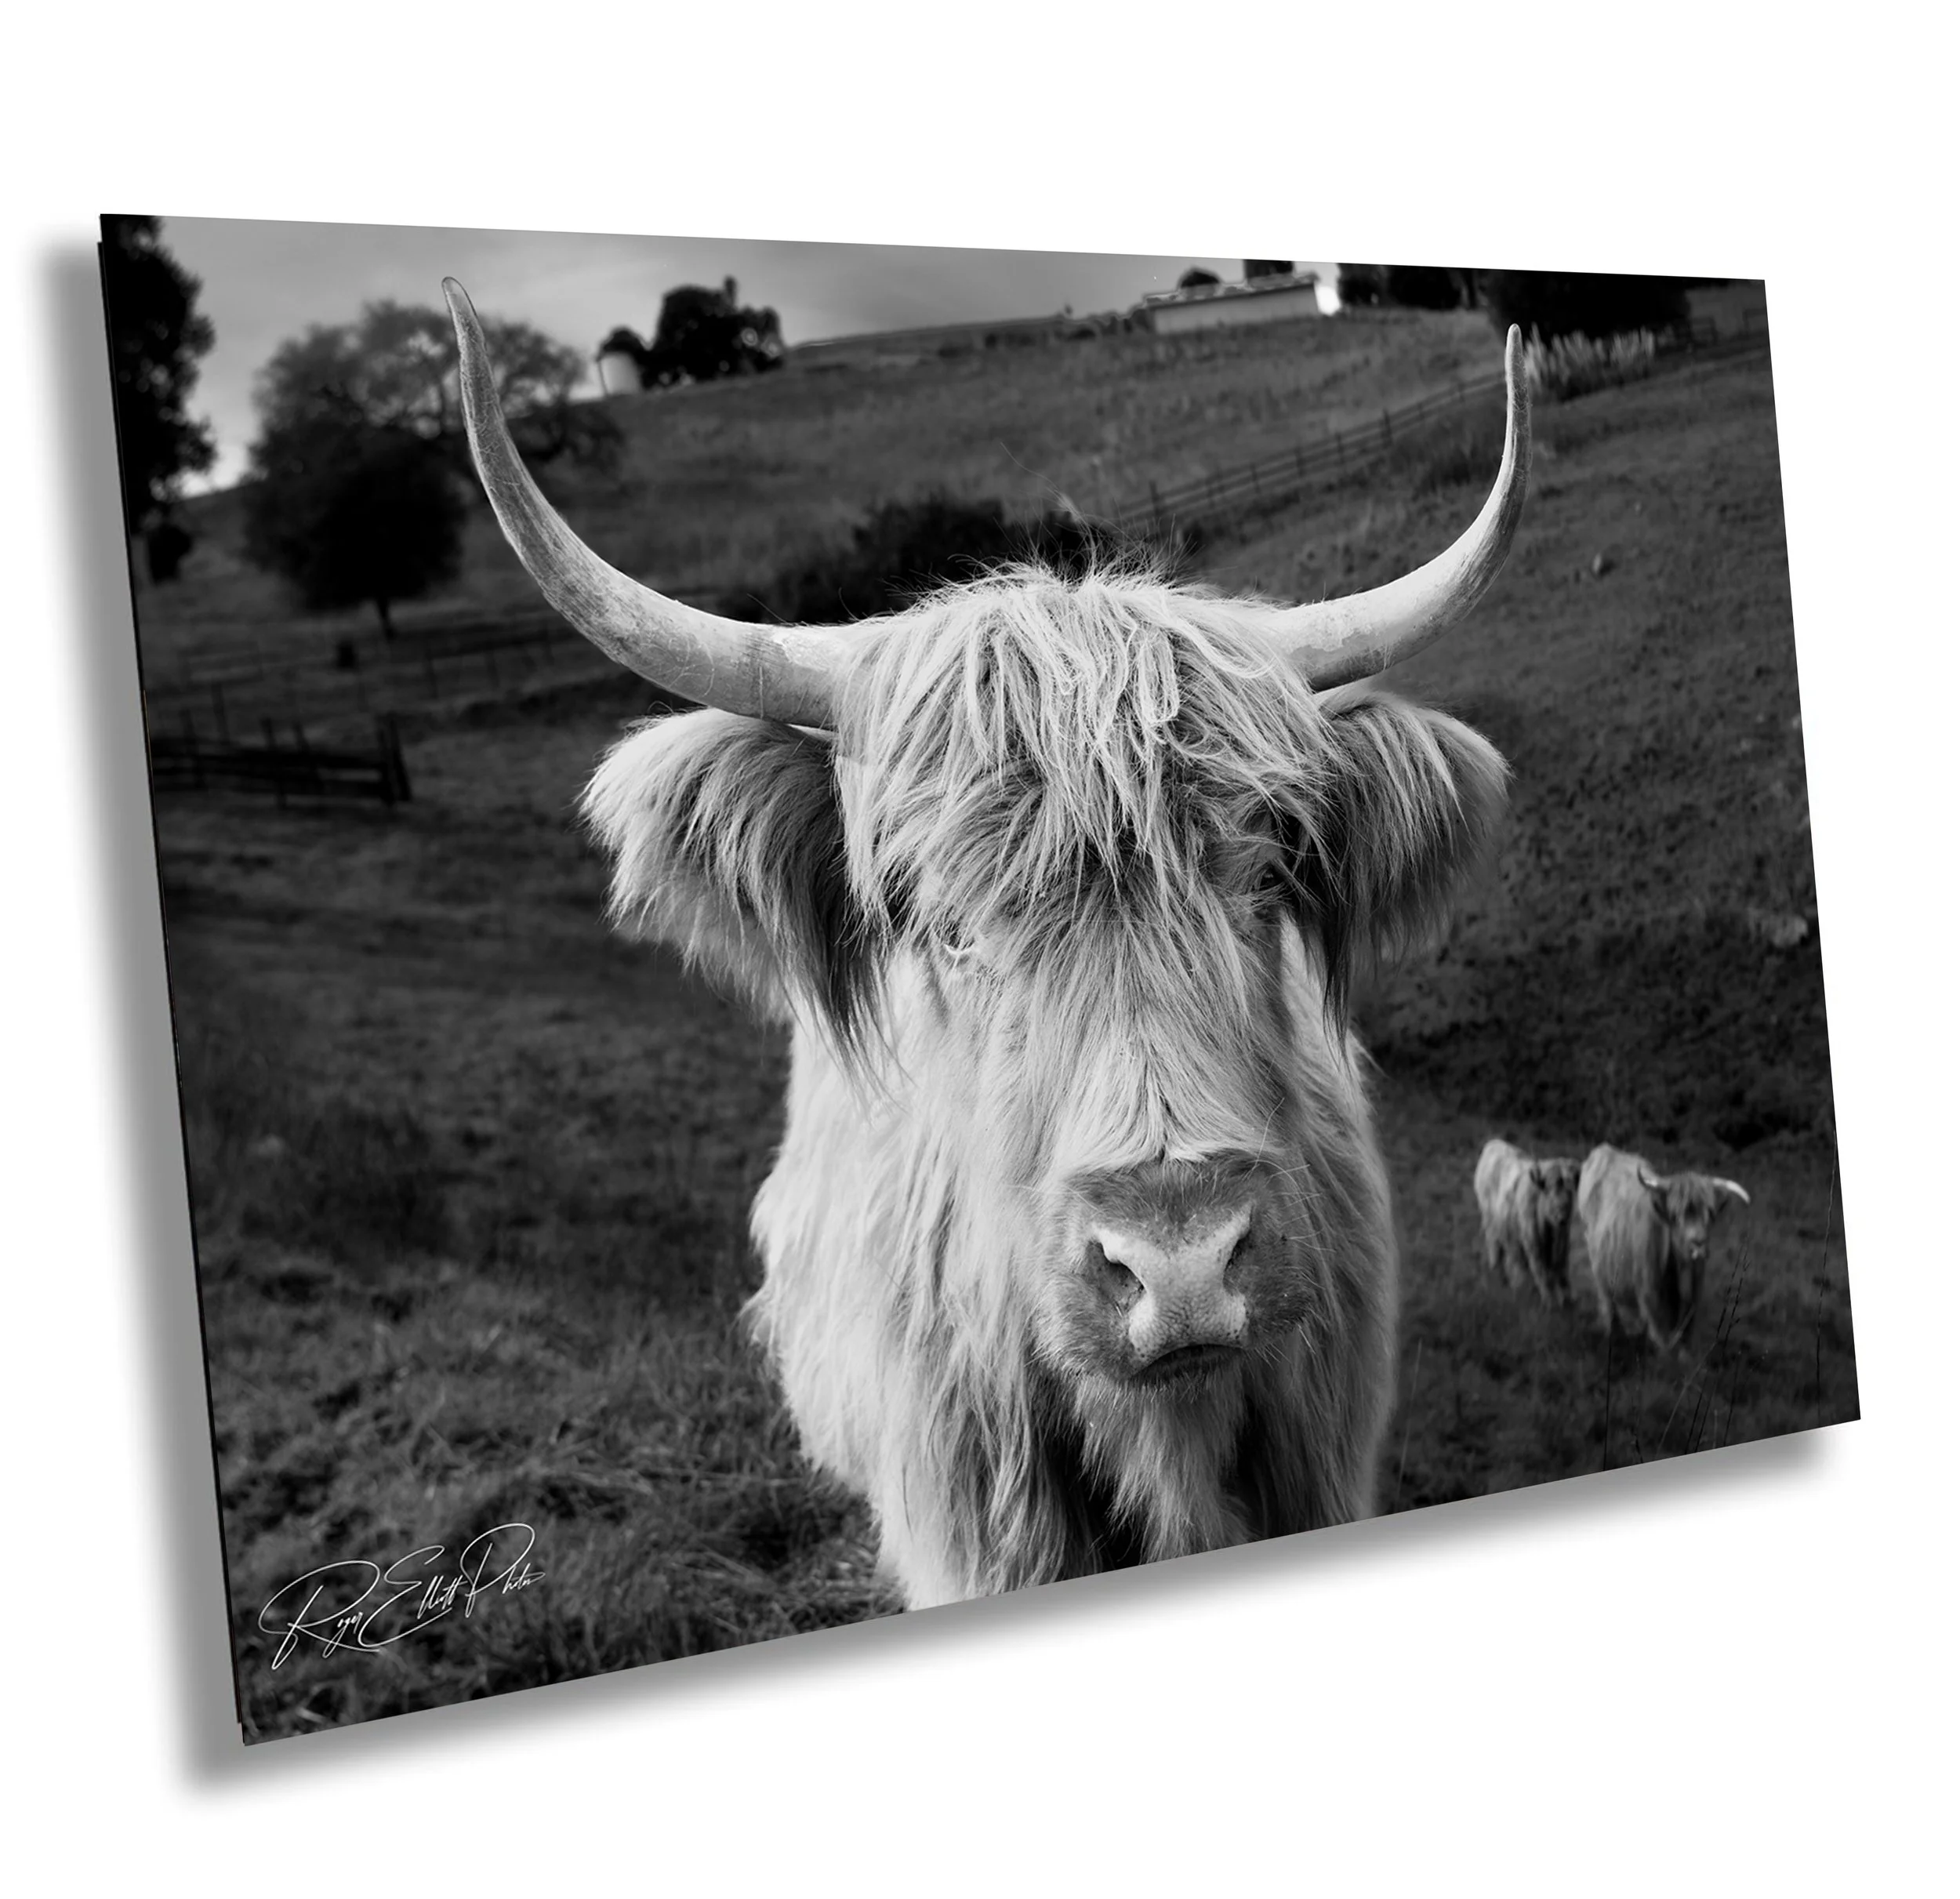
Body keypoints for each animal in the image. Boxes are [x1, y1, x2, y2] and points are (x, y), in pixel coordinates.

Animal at [1473, 1138, 1582, 1305]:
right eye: (1548, 1190)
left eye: (1570, 1190)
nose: (1561, 1216)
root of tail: (1493, 1144)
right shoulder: (1533, 1246)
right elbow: (1543, 1275)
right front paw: (1550, 1302)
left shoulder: (1563, 1246)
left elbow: (1562, 1273)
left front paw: (1569, 1299)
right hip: (1490, 1225)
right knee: (1496, 1250)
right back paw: (1501, 1280)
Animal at [1576, 1144, 1751, 1354]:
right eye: (1674, 1216)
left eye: (1710, 1214)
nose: (1698, 1245)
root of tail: (1606, 1150)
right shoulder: (1651, 1299)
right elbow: (1665, 1345)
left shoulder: (1693, 1299)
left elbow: (1685, 1340)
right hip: (1600, 1266)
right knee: (1608, 1303)